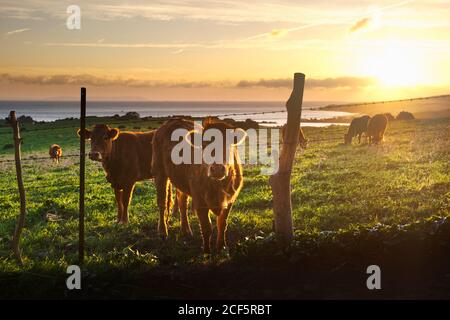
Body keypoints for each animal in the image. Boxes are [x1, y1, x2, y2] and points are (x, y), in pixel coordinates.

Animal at [152, 116, 246, 254]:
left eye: (228, 145)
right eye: (204, 145)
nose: (217, 169)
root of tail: (174, 120)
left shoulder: (230, 200)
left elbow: (222, 224)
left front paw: (221, 247)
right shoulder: (199, 200)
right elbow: (206, 227)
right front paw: (206, 251)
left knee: (182, 202)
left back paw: (186, 230)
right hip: (160, 172)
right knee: (162, 203)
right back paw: (163, 232)